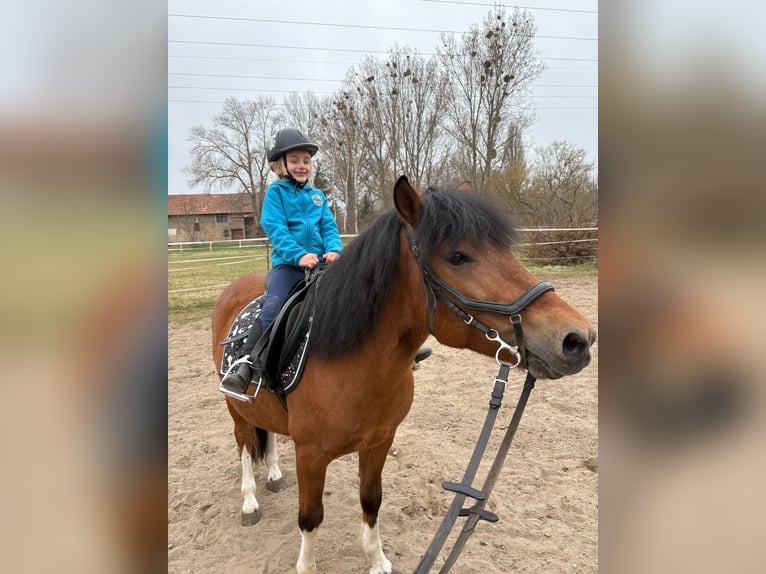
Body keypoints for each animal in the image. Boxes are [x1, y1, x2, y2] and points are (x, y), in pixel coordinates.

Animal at [211, 176, 595, 574]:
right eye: (458, 256)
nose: (577, 338)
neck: (353, 365)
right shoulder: (310, 454)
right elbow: (310, 516)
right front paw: (307, 566)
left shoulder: (380, 442)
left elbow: (371, 500)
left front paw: (377, 559)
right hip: (235, 408)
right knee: (244, 445)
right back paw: (249, 502)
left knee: (268, 433)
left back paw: (272, 474)